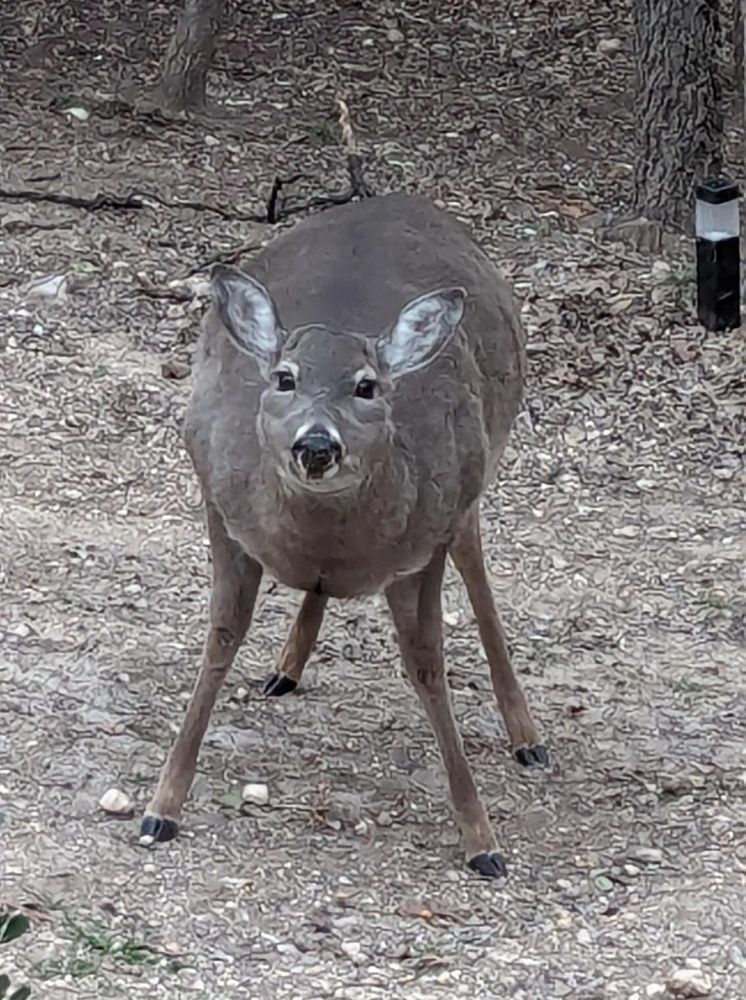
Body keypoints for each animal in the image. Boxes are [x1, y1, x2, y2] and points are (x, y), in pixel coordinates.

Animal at [139, 192, 548, 878]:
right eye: (284, 377)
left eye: (367, 386)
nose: (316, 444)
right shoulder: (220, 507)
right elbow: (220, 641)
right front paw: (161, 806)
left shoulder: (424, 543)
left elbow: (428, 667)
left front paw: (481, 839)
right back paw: (286, 666)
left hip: (473, 477)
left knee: (476, 565)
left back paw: (528, 737)